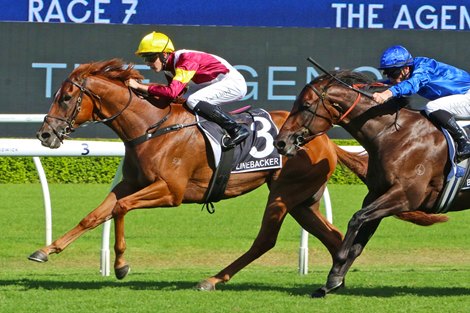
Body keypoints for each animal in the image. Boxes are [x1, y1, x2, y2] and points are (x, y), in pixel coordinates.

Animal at [28, 59, 370, 290]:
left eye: (66, 98)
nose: (45, 134)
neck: (150, 127)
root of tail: (325, 139)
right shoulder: (130, 183)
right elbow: (96, 215)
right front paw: (45, 251)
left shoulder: (171, 191)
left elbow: (121, 208)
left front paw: (122, 265)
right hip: (302, 200)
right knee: (332, 235)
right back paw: (336, 281)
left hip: (284, 193)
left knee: (265, 240)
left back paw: (213, 279)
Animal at [274, 69, 468, 296]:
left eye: (305, 105)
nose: (280, 142)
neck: (396, 134)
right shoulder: (377, 193)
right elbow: (359, 240)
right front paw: (331, 281)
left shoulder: (406, 195)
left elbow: (356, 218)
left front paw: (338, 262)